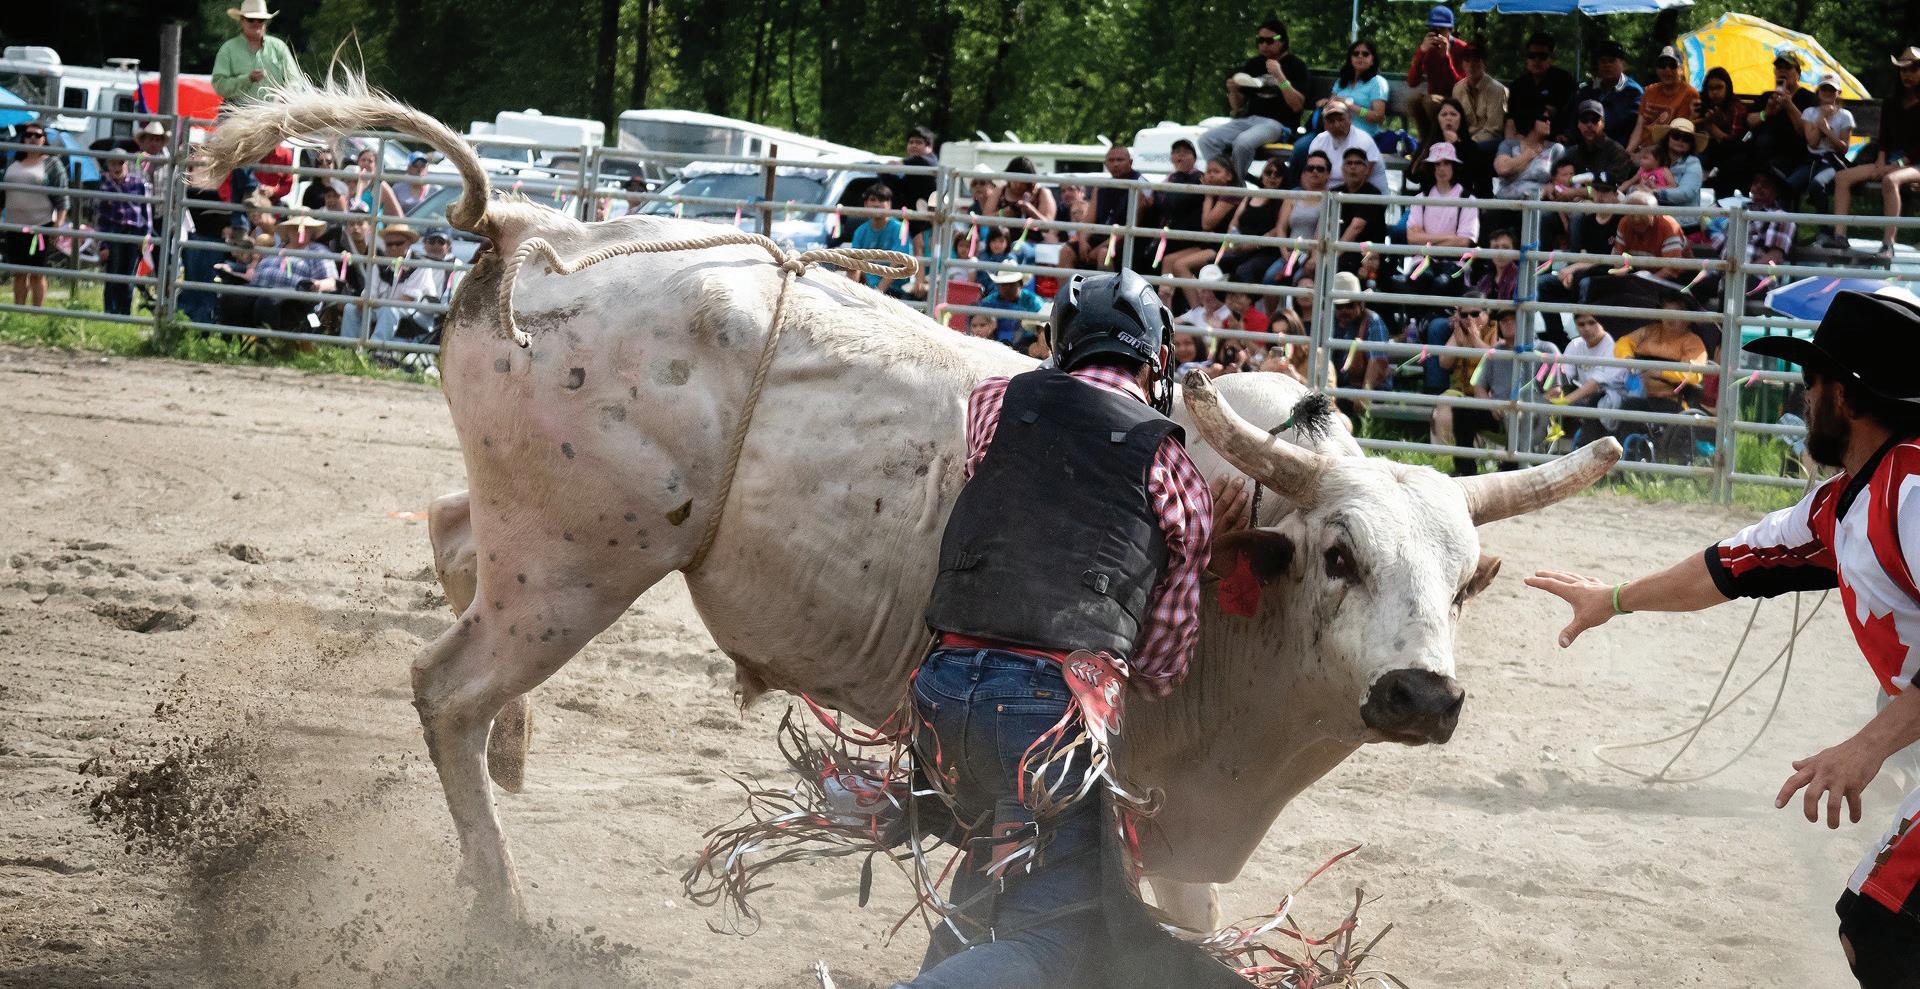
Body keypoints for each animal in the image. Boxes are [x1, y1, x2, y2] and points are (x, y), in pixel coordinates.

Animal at [200, 74, 1621, 932]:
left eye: (1464, 580)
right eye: (1337, 553)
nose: (1420, 694)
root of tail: (530, 225)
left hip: (529, 542)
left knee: (453, 553)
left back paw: (512, 754)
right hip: (574, 566)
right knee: (444, 682)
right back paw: (499, 898)